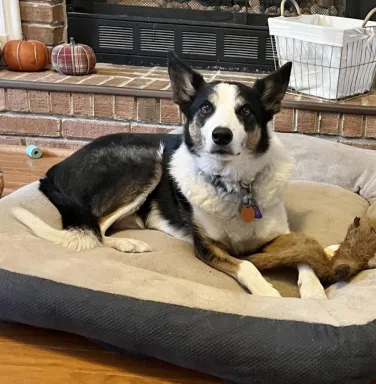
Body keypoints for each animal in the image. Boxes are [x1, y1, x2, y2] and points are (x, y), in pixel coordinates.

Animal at [13, 51, 326, 296]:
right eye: (206, 108)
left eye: (246, 111)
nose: (221, 135)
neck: (234, 185)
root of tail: (53, 172)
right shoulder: (206, 246)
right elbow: (248, 264)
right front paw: (267, 291)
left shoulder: (280, 234)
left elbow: (305, 252)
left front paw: (315, 290)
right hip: (146, 162)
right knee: (96, 228)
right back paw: (128, 243)